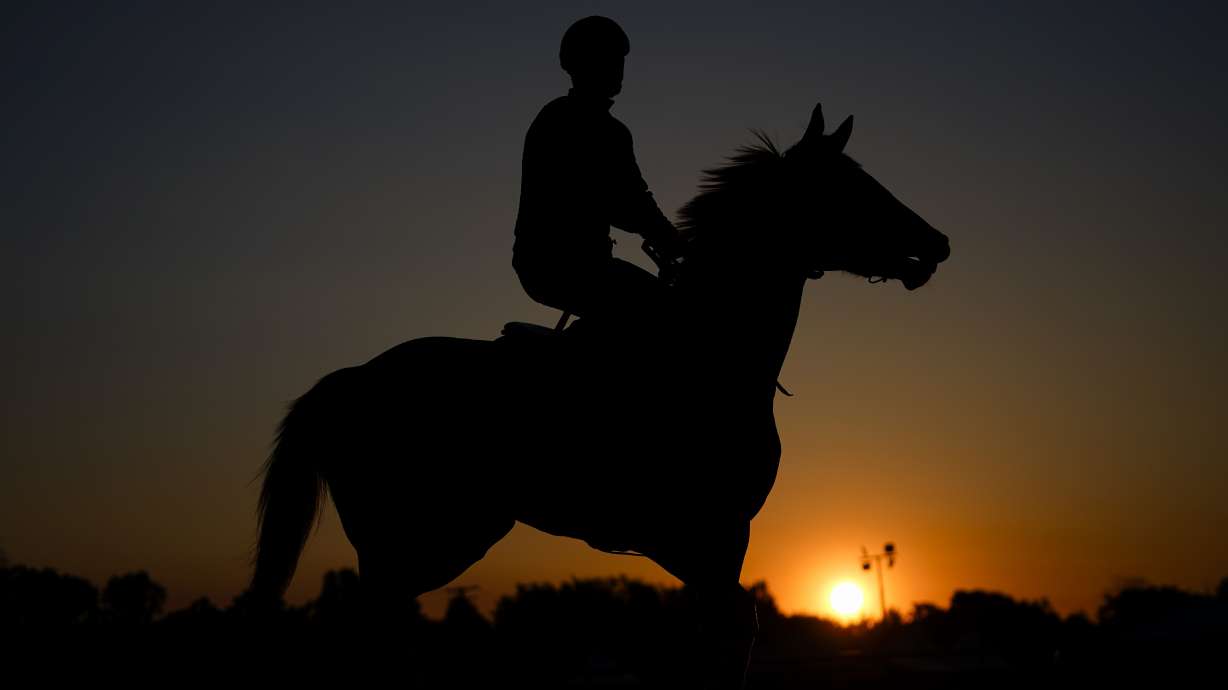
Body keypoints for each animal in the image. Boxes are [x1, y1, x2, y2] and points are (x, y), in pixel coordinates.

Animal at [250, 101, 950, 687]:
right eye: (852, 187)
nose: (936, 243)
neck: (712, 349)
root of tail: (347, 380)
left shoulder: (704, 543)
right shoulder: (709, 533)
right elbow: (729, 636)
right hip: (411, 542)